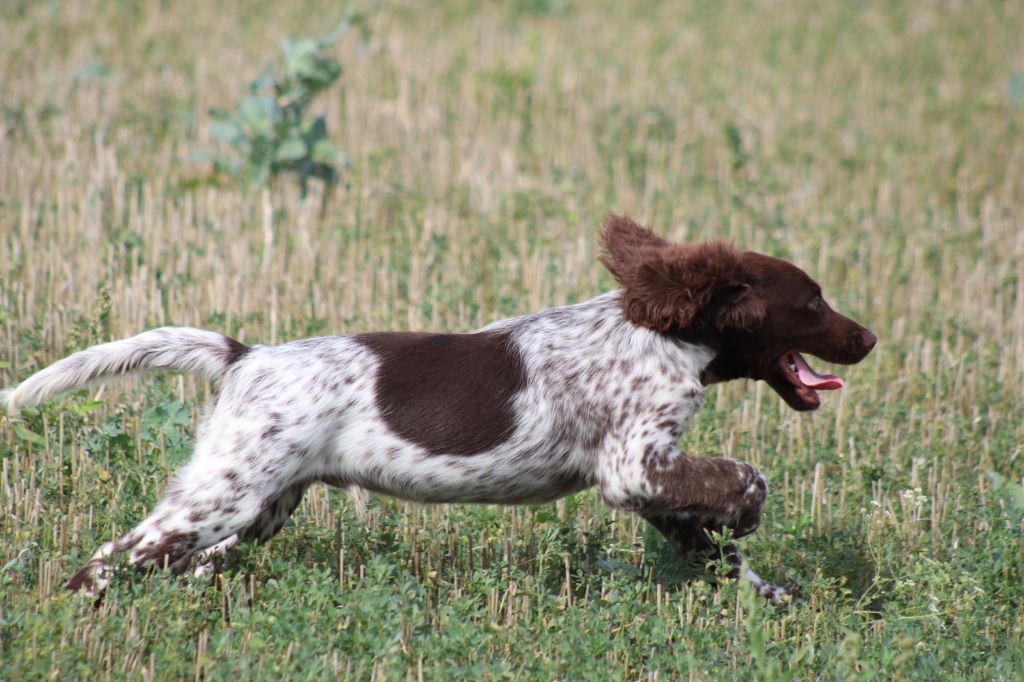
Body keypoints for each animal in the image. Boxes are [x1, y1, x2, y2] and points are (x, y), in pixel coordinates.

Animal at [4, 215, 876, 598]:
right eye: (811, 302)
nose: (867, 338)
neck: (666, 332)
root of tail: (247, 354)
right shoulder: (634, 465)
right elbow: (748, 477)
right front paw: (749, 518)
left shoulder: (652, 481)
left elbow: (710, 541)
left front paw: (767, 597)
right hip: (226, 492)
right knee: (113, 557)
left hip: (264, 504)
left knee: (185, 560)